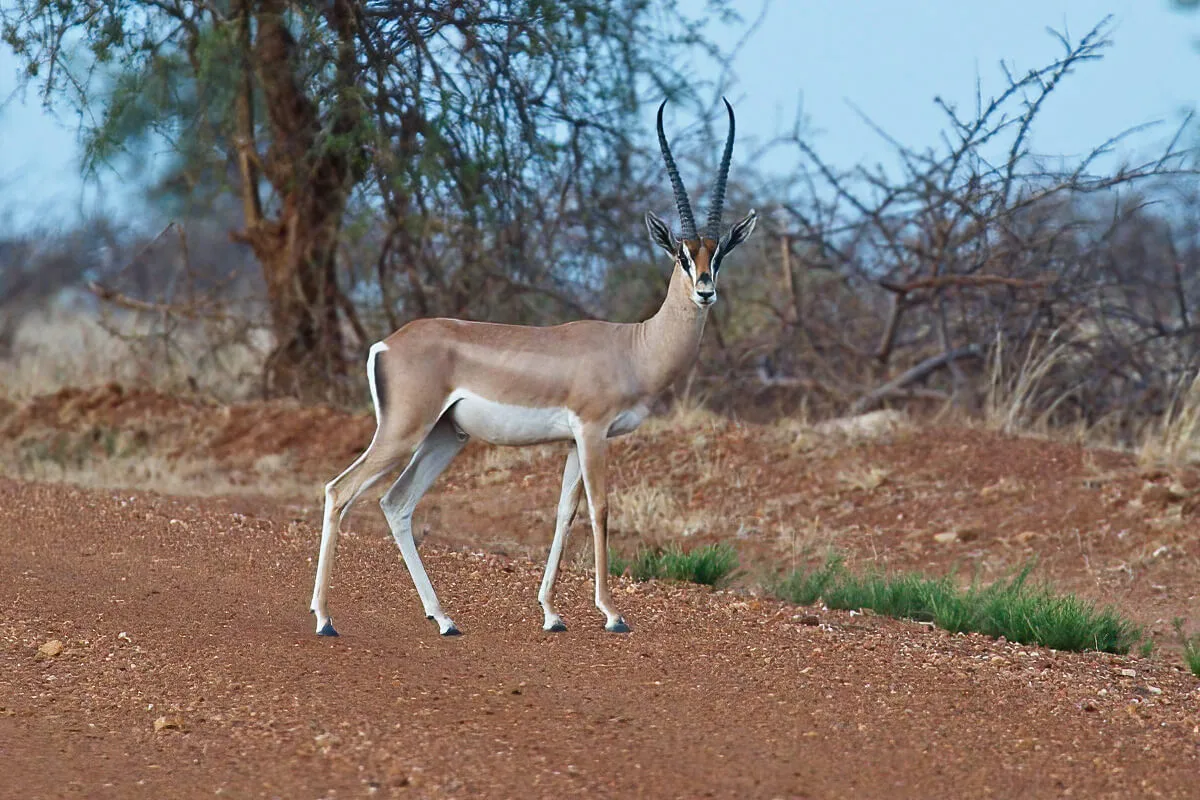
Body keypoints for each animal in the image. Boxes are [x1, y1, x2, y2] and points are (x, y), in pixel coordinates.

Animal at [310, 98, 757, 637]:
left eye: (720, 253)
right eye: (681, 255)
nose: (705, 291)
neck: (632, 346)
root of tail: (387, 344)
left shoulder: (572, 442)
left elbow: (564, 512)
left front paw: (550, 613)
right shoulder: (592, 431)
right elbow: (600, 509)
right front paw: (612, 614)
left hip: (445, 436)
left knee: (396, 503)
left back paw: (445, 619)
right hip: (403, 432)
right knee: (340, 490)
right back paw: (325, 619)